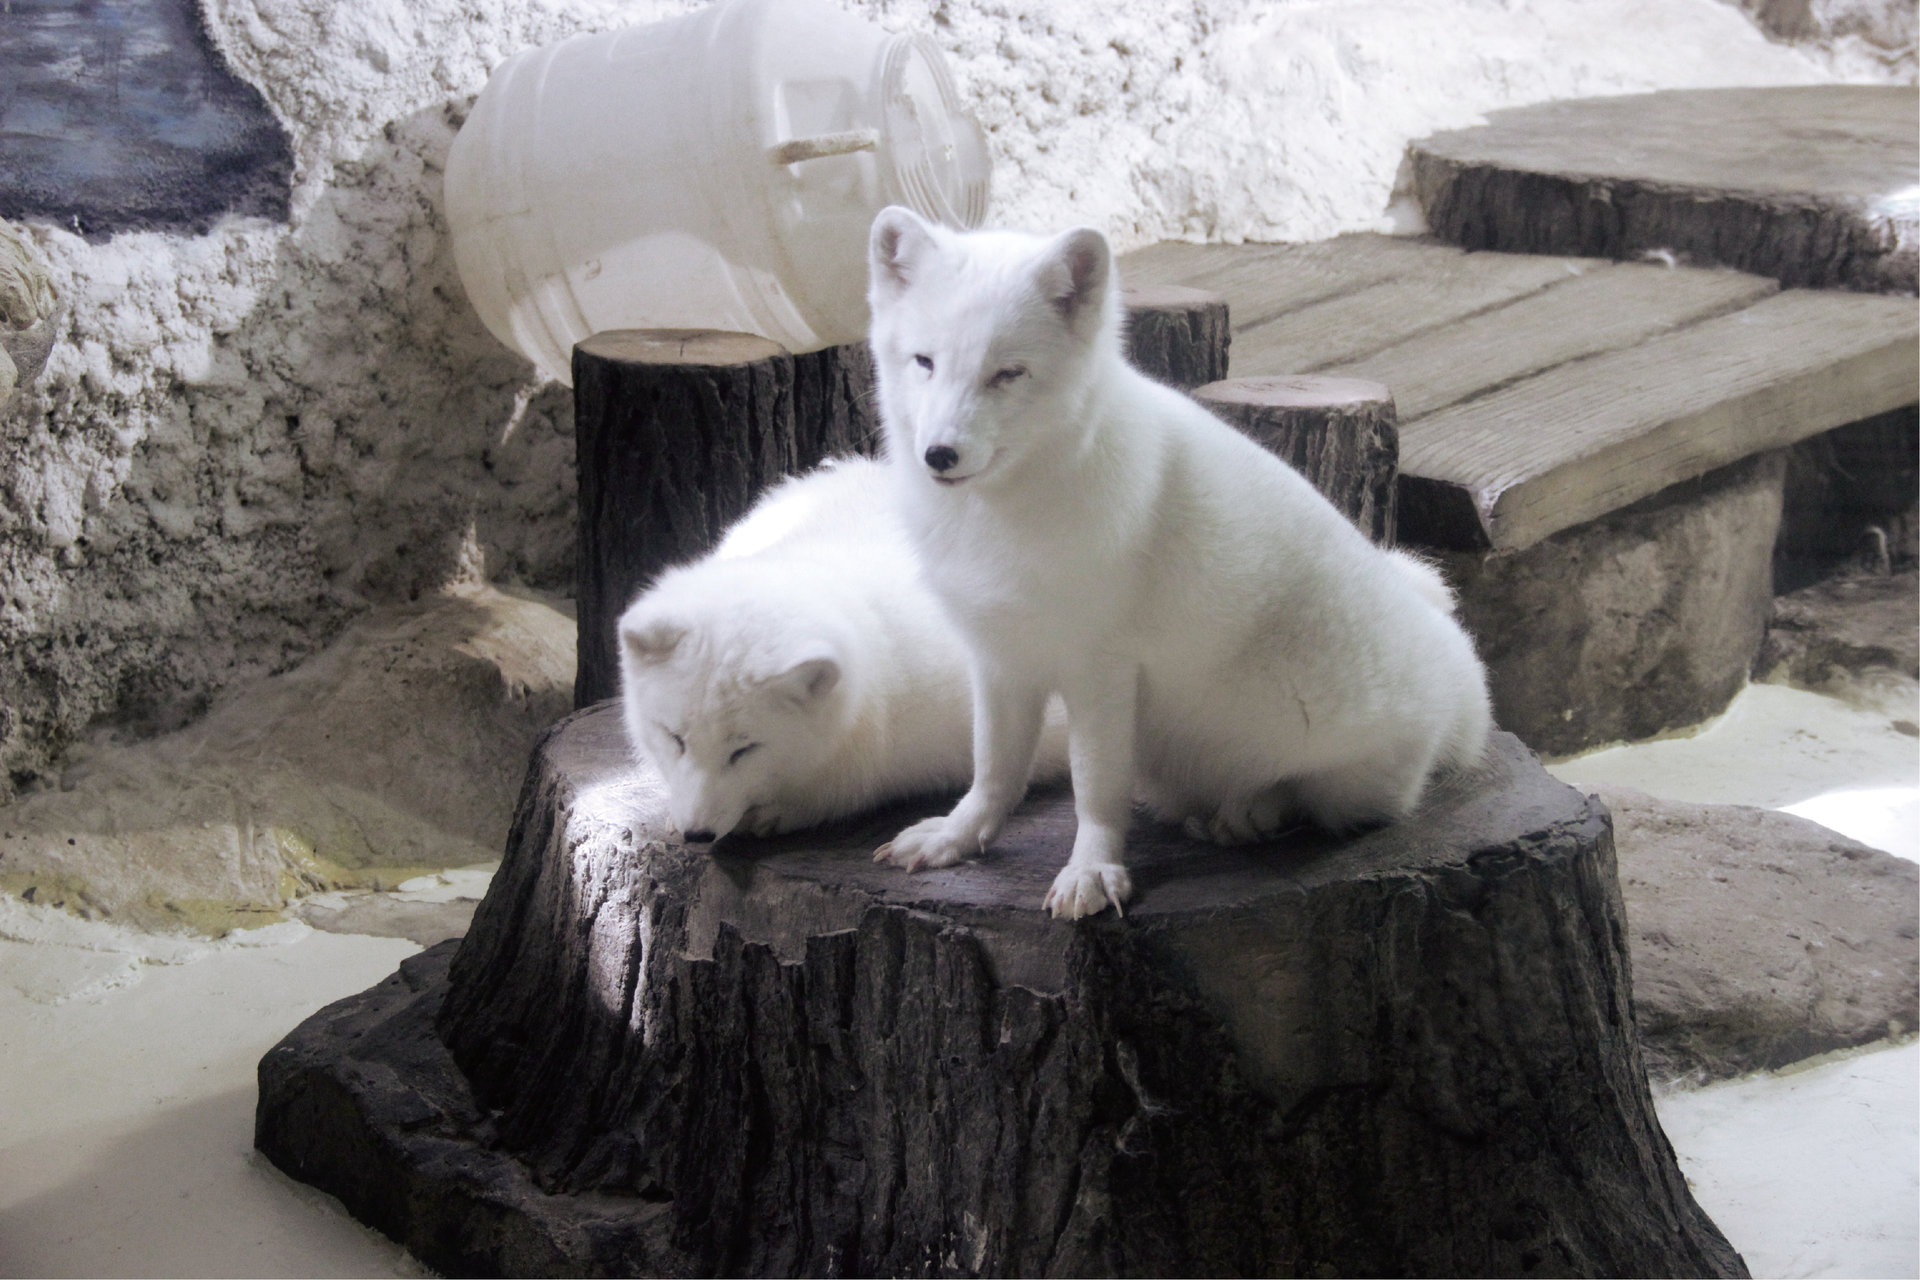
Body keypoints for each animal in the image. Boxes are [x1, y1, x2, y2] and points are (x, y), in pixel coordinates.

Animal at [871, 202, 1497, 921]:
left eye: (1009, 373)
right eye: (924, 361)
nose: (939, 454)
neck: (996, 518)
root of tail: (1460, 672)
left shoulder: (1102, 668)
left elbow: (1093, 785)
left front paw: (1092, 870)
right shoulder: (1000, 657)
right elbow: (994, 770)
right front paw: (957, 835)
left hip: (1347, 768)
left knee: (1317, 797)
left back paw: (1252, 810)